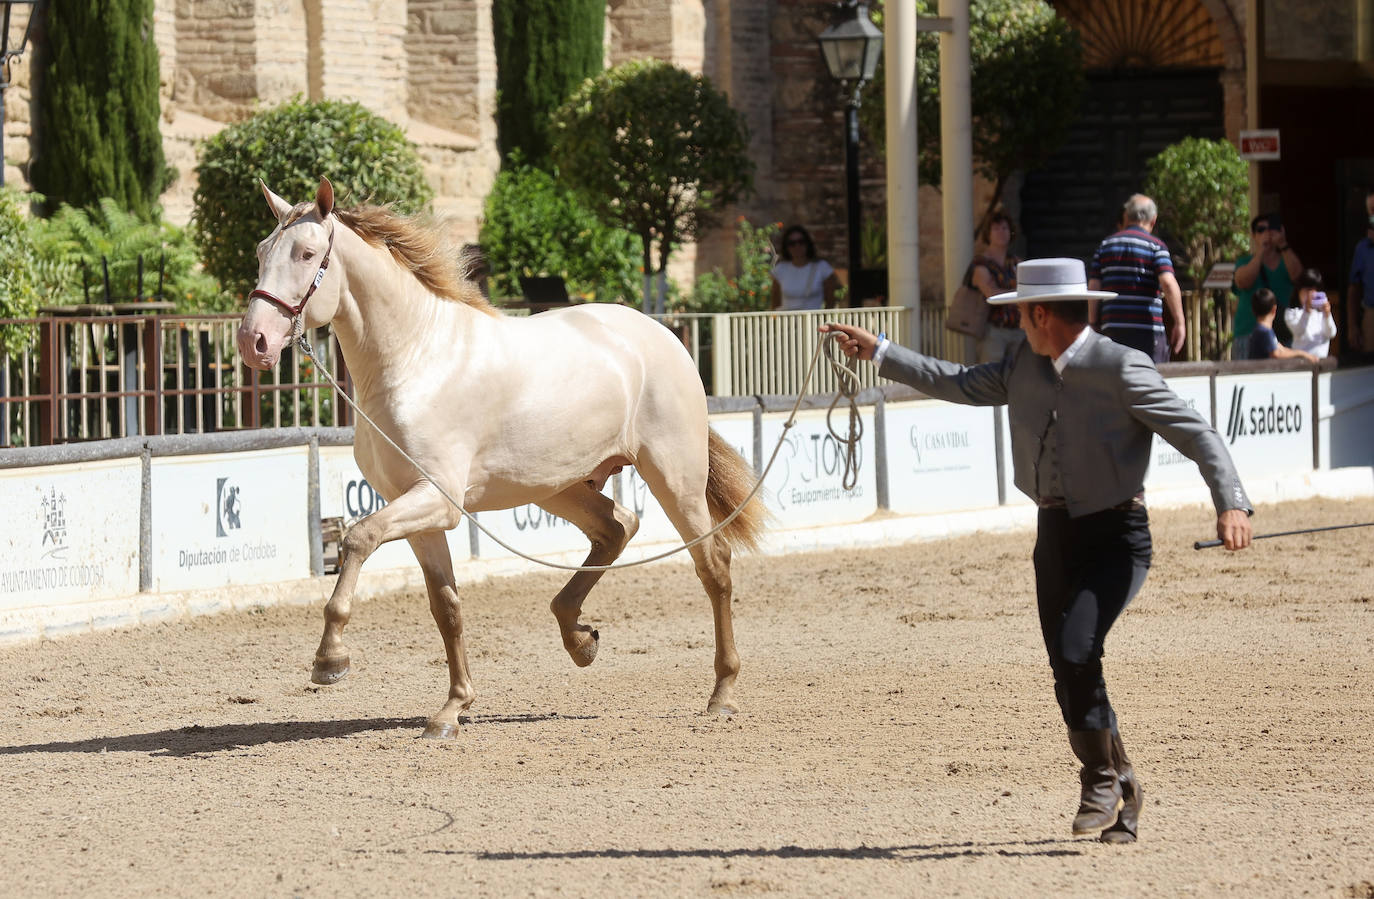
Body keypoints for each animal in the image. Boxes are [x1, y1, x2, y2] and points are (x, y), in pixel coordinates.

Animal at [235, 178, 766, 738]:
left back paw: (722, 692)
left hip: (673, 476)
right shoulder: (416, 510)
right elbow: (445, 606)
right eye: (261, 252)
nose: (253, 342)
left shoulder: (436, 500)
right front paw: (452, 709)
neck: (415, 359)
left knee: (713, 565)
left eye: (306, 253)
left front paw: (330, 659)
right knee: (618, 527)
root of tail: (663, 335)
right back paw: (580, 638)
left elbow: (357, 538)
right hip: (561, 487)